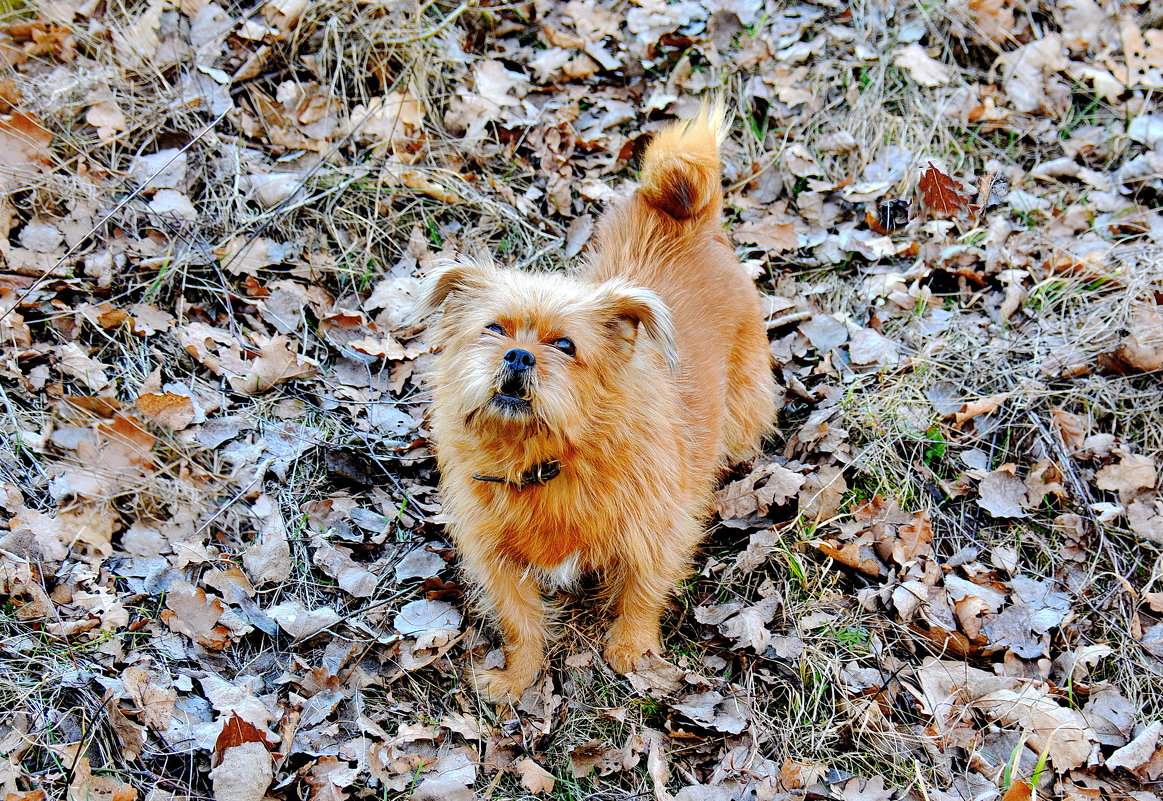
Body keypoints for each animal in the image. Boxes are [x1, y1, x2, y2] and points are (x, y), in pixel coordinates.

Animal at [416, 104, 772, 697]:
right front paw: (519, 676)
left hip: (745, 404)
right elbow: (519, 619)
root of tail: (685, 218)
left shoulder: (656, 531)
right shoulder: (496, 558)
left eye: (565, 346)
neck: (547, 460)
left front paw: (633, 650)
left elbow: (642, 592)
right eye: (493, 329)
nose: (518, 356)